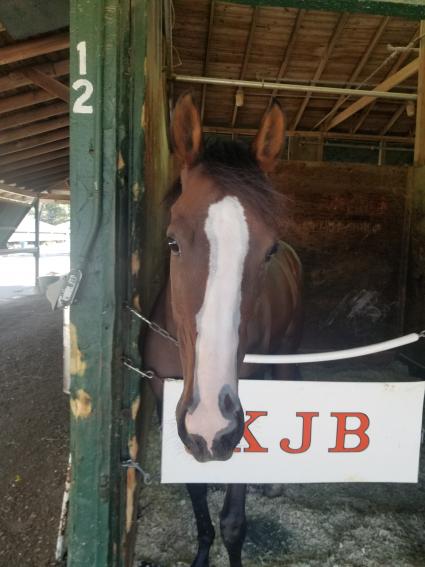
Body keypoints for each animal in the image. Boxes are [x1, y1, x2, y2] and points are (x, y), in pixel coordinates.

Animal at [142, 94, 302, 567]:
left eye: (269, 250)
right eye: (172, 241)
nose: (211, 422)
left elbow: (233, 521)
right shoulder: (167, 403)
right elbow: (195, 495)